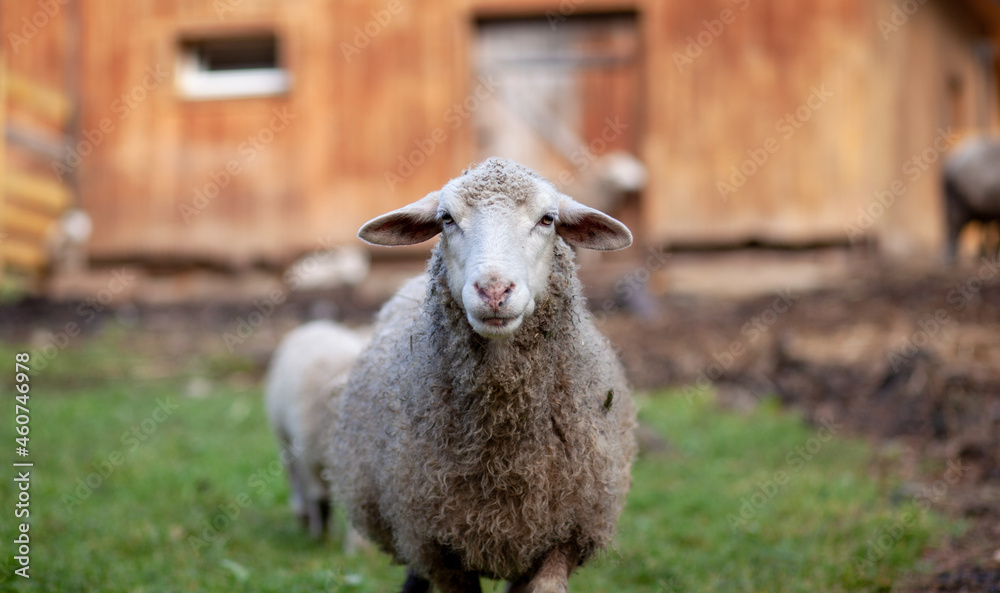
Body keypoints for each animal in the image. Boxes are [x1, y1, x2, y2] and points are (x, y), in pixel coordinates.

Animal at [265, 320, 365, 539]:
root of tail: (316, 324)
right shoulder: (309, 457)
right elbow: (319, 496)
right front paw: (321, 533)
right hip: (284, 437)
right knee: (294, 476)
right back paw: (303, 513)